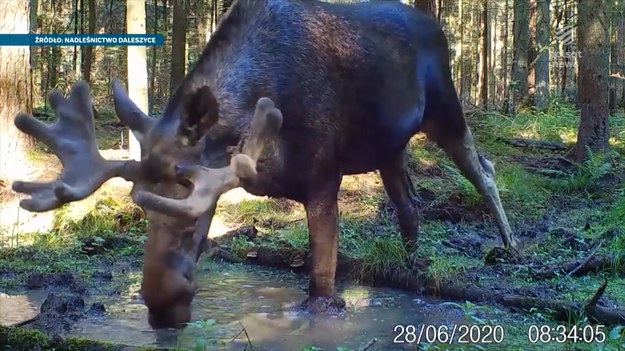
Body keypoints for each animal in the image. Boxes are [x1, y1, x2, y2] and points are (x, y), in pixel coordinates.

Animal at [12, 0, 516, 330]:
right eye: (142, 209)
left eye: (190, 216)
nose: (161, 304)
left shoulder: (323, 179)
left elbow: (320, 291)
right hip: (389, 146)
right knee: (410, 204)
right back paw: (411, 265)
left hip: (446, 111)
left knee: (485, 170)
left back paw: (511, 246)